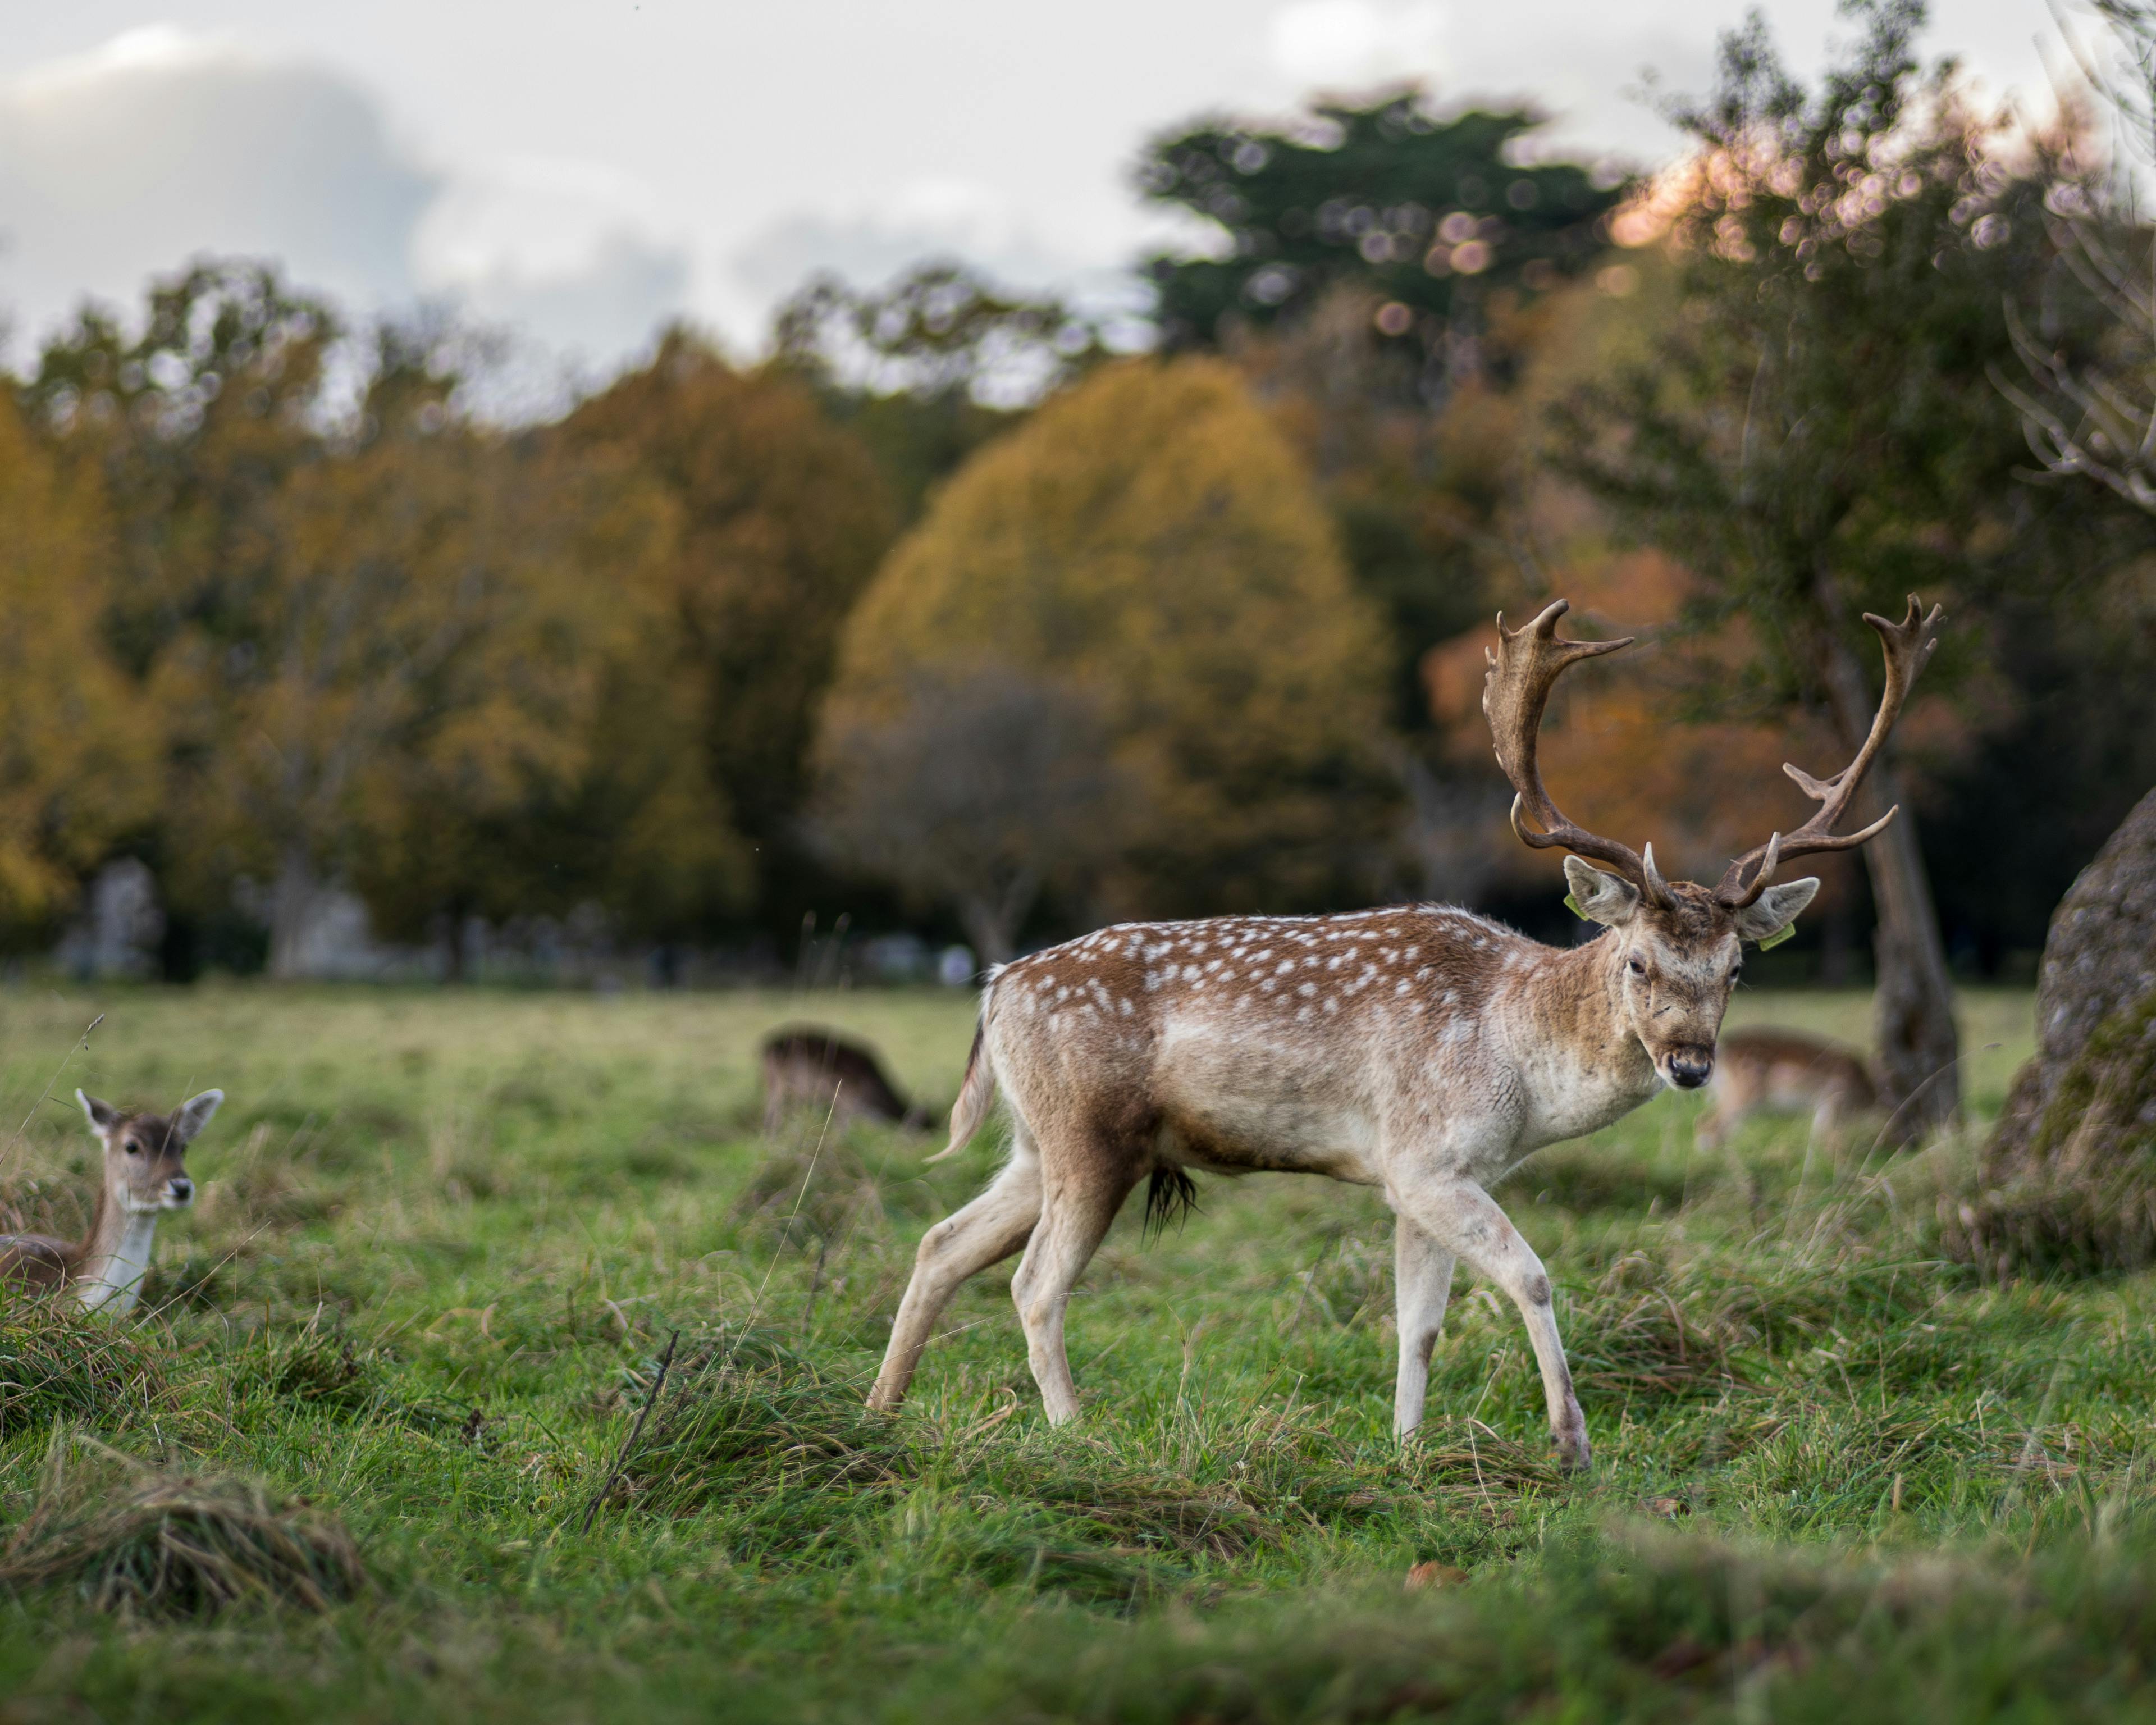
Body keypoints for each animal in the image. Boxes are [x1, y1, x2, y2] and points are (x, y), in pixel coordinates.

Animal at [759, 1030, 927, 1138]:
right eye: (917, 1125)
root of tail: (764, 1046)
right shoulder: (846, 1098)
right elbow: (843, 1126)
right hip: (779, 1083)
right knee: (774, 1111)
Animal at [1690, 1030, 1880, 1156]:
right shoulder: (1834, 1098)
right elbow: (1830, 1137)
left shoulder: (1823, 1105)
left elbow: (1819, 1134)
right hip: (1744, 1092)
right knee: (1710, 1122)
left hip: (1726, 1092)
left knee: (1707, 1120)